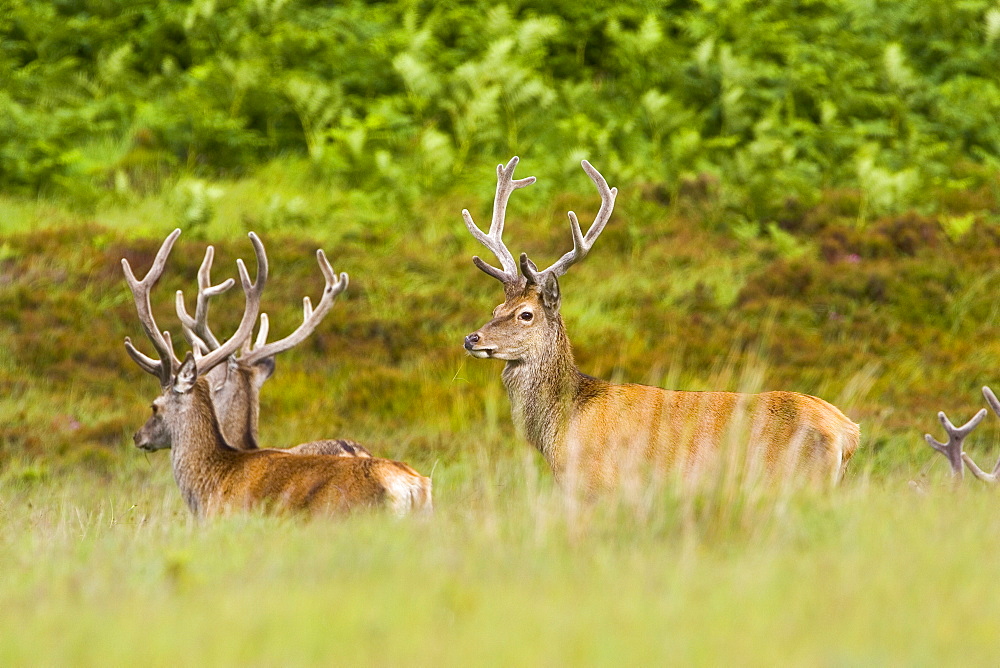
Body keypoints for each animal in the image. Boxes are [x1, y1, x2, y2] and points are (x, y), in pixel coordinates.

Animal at [460, 155, 860, 490]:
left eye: (526, 314)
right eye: (496, 308)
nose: (471, 338)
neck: (563, 423)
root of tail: (848, 431)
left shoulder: (597, 484)